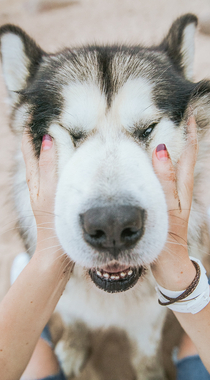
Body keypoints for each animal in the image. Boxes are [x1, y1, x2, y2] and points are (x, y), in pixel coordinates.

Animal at [0, 13, 210, 378]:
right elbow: (75, 321)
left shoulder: (148, 319)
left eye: (148, 129)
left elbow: (145, 357)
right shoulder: (68, 301)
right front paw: (73, 345)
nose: (113, 226)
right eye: (71, 134)